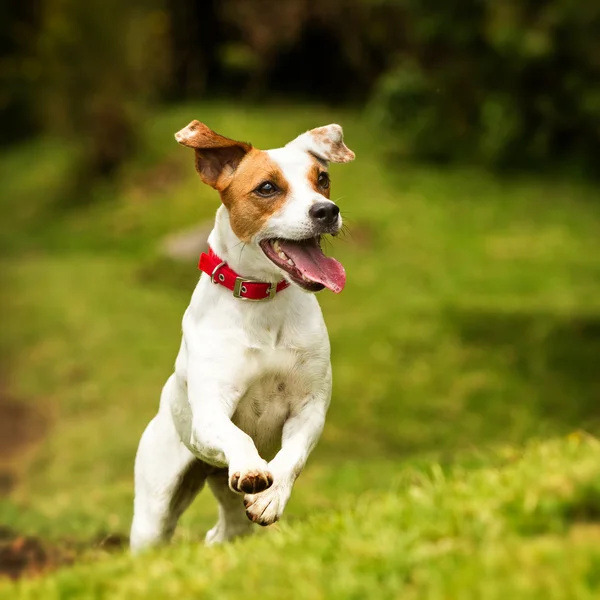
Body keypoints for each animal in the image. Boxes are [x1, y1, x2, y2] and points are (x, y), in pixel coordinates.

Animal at [129, 119, 354, 552]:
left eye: (322, 180)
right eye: (266, 188)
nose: (326, 210)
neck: (262, 302)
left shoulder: (309, 408)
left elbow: (291, 457)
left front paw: (271, 496)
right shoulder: (210, 413)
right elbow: (239, 437)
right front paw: (251, 467)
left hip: (225, 507)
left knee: (226, 530)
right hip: (153, 513)